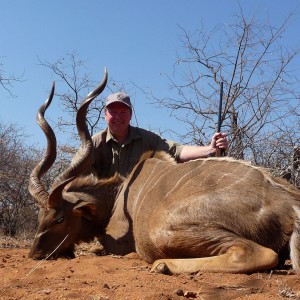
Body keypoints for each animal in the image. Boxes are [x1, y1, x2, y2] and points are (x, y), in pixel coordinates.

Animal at [29, 70, 300, 274]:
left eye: (60, 219)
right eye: (40, 215)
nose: (35, 254)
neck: (117, 195)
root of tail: (290, 205)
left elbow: (98, 248)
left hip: (165, 229)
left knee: (257, 253)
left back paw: (163, 265)